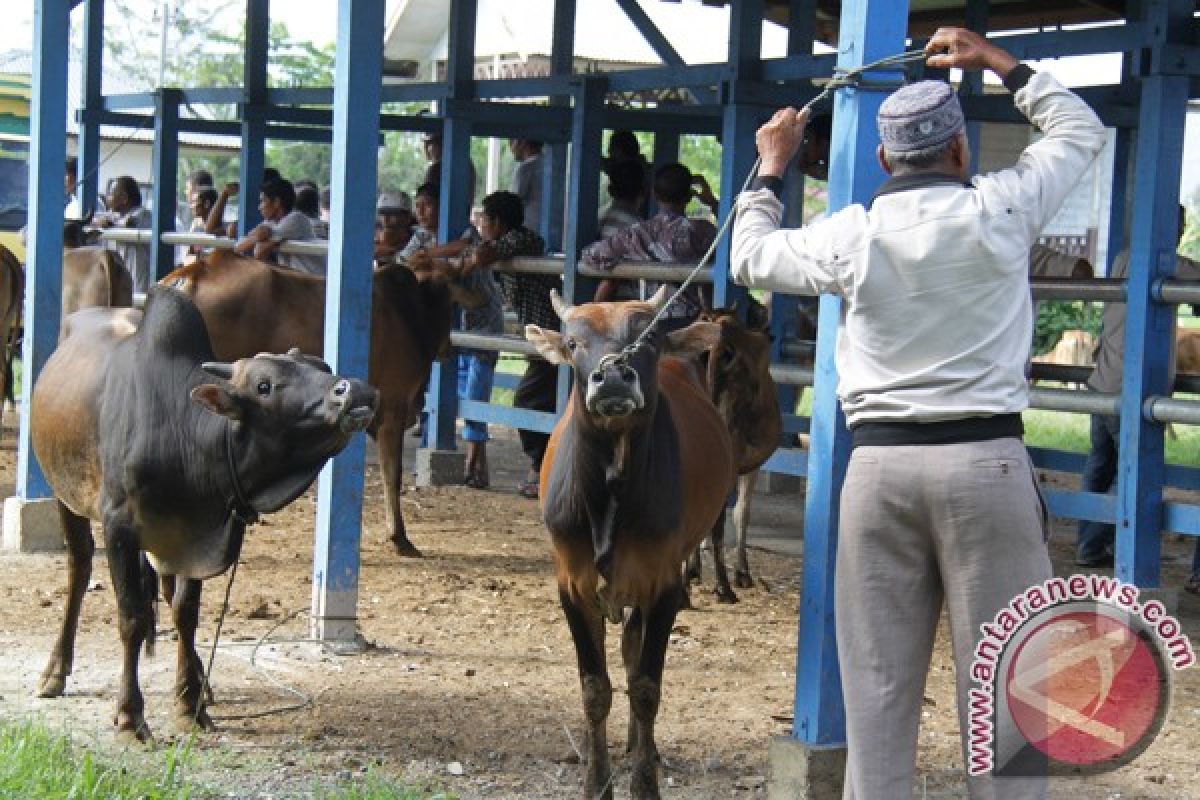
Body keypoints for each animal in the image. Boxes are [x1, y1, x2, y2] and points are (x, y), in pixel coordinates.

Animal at [32, 284, 374, 743]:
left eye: (322, 366)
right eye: (264, 385)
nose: (354, 390)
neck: (184, 432)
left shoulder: (197, 531)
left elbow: (185, 613)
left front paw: (190, 702)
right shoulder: (120, 527)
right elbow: (132, 618)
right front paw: (130, 715)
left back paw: (201, 681)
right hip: (65, 495)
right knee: (80, 568)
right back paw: (55, 670)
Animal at [162, 250, 451, 556]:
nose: (448, 348)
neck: (410, 310)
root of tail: (200, 268)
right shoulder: (393, 410)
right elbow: (392, 475)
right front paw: (399, 537)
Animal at [530, 287, 734, 800]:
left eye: (650, 337)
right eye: (573, 342)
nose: (613, 377)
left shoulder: (662, 585)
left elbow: (645, 688)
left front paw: (644, 781)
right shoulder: (572, 585)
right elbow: (594, 688)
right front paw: (595, 782)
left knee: (632, 653)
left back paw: (643, 746)